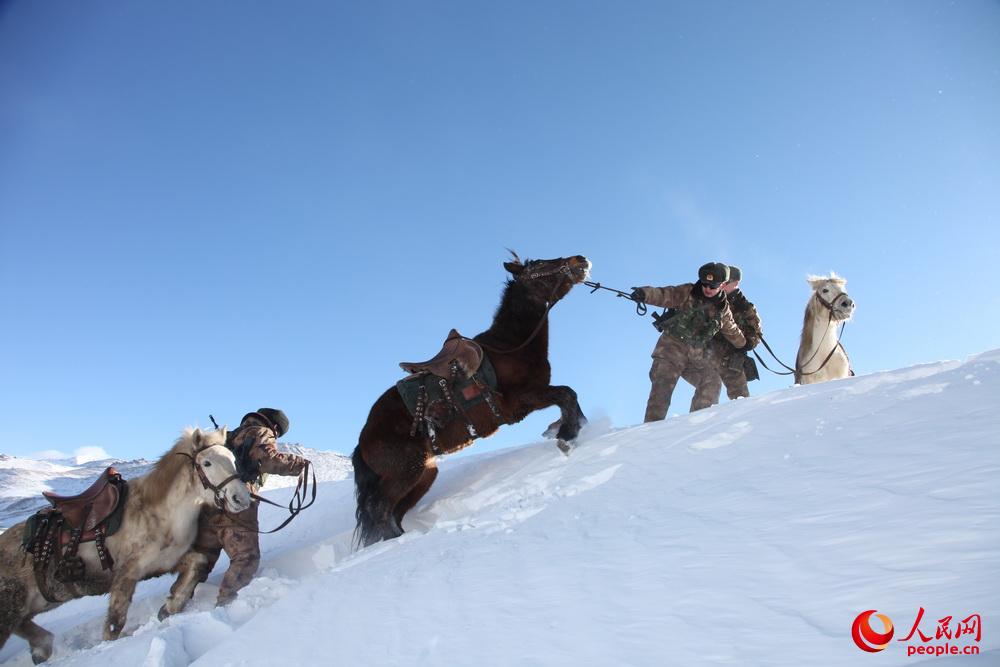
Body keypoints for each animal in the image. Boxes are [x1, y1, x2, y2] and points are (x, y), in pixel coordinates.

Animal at [0, 430, 250, 664]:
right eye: (207, 463)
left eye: (232, 458)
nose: (241, 498)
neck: (161, 513)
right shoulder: (127, 573)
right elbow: (115, 623)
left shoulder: (165, 562)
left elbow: (197, 564)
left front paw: (169, 607)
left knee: (35, 633)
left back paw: (40, 651)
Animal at [352, 253, 588, 544]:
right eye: (540, 266)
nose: (580, 260)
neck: (509, 347)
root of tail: (363, 440)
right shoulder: (521, 400)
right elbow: (566, 393)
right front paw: (566, 435)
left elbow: (569, 396)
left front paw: (568, 428)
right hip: (407, 471)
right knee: (380, 508)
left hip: (424, 474)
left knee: (393, 511)